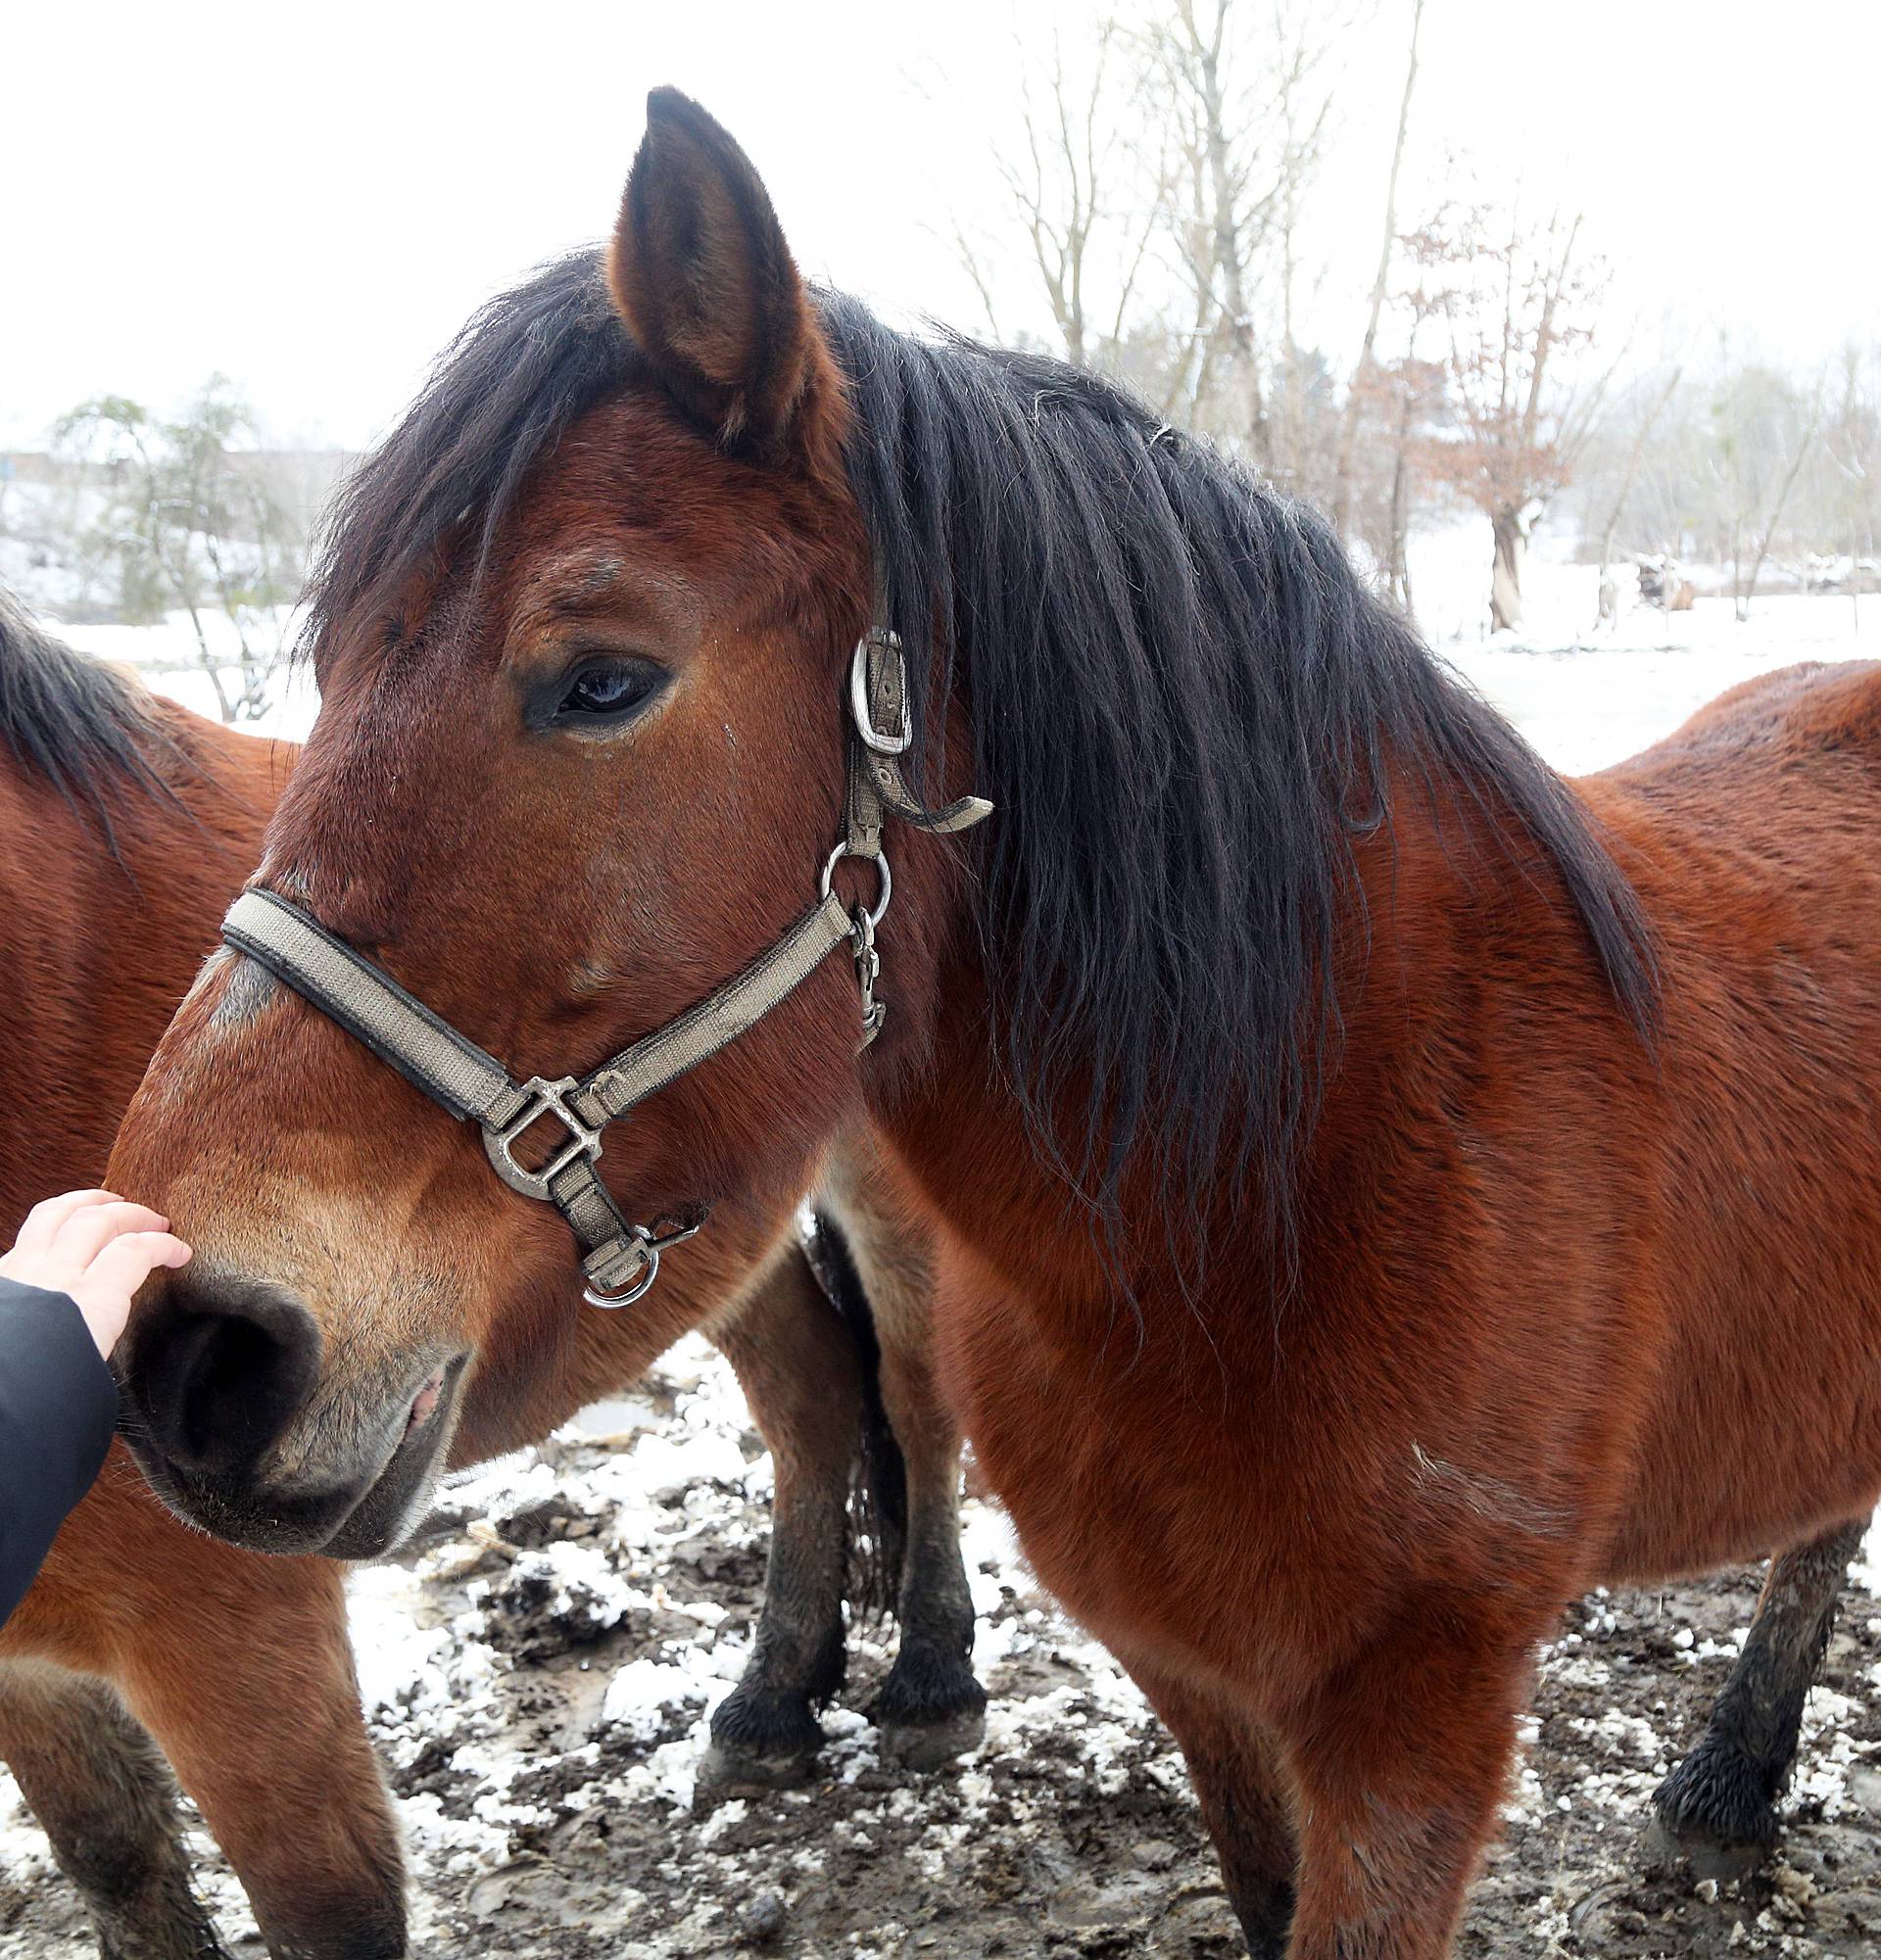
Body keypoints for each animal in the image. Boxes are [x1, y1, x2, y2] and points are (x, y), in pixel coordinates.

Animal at [0, 603, 976, 1951]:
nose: (196, 1366)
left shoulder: (230, 1642)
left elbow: (324, 1910)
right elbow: (118, 1868)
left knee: (921, 1393)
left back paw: (935, 1679)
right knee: (815, 1391)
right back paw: (772, 1704)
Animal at [103, 99, 1881, 1959]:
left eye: (600, 679)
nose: (192, 1349)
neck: (1303, 1172)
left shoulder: (1418, 1742)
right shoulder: (1198, 1681)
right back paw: (1734, 1789)